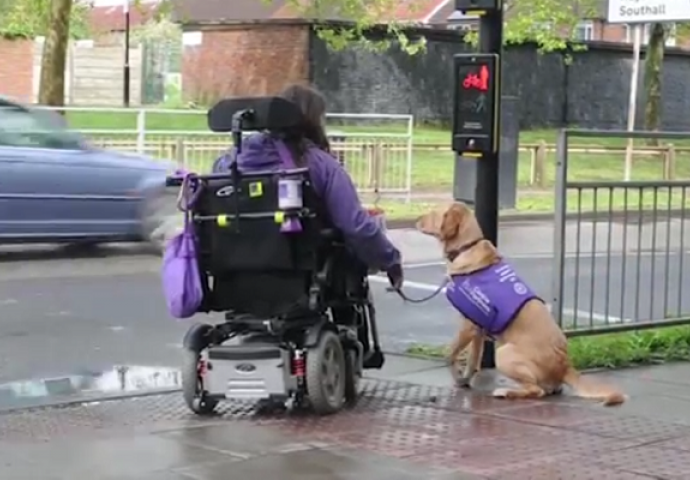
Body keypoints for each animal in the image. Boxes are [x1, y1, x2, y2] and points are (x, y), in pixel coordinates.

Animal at [414, 201, 624, 406]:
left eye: (434, 212)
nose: (416, 220)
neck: (467, 247)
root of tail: (565, 365)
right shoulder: (478, 329)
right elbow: (473, 359)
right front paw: (464, 380)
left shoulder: (468, 326)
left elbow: (450, 354)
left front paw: (457, 377)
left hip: (504, 353)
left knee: (536, 390)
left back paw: (505, 392)